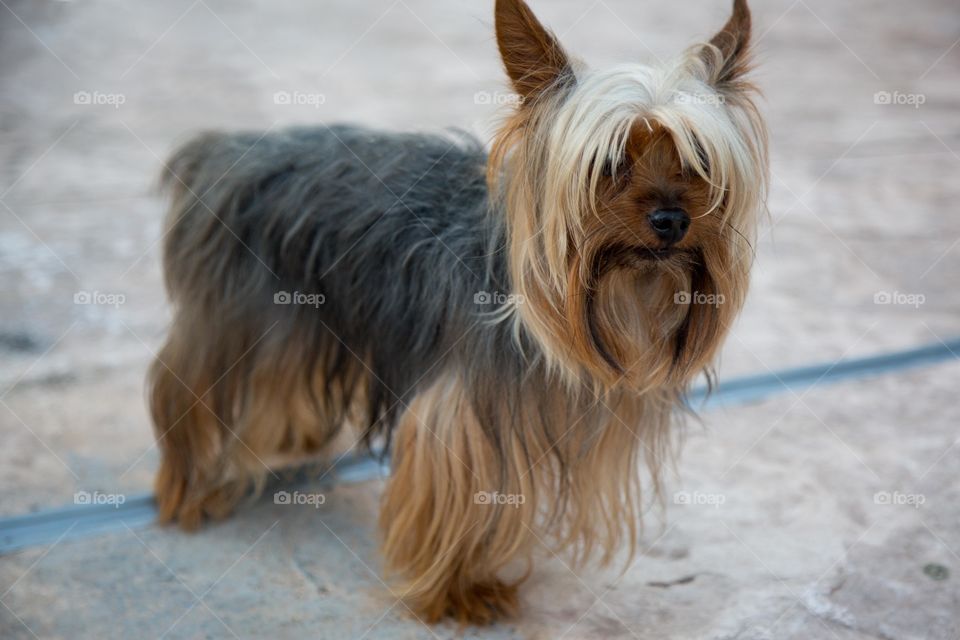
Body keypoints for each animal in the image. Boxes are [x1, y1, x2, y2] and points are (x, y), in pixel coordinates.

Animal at [148, 0, 764, 624]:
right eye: (611, 161)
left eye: (697, 160)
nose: (671, 220)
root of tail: (222, 151)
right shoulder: (464, 414)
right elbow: (454, 493)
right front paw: (457, 591)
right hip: (237, 320)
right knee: (185, 391)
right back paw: (193, 491)